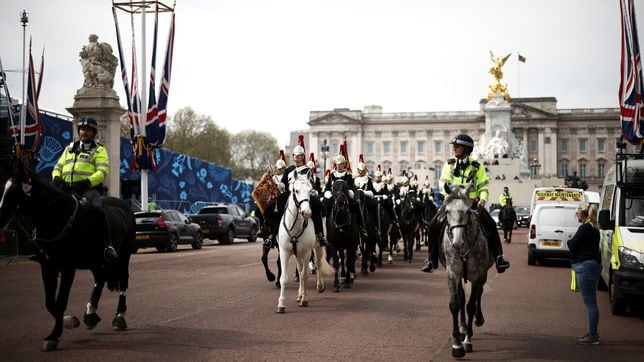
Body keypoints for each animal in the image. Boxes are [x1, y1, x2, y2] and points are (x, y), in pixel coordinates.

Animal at [0, 160, 135, 352]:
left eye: (17, 189)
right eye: (4, 187)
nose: (0, 218)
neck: (56, 217)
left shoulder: (67, 268)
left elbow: (61, 301)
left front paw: (54, 335)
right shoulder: (47, 266)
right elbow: (50, 302)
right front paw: (68, 322)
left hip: (123, 257)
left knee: (122, 282)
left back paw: (119, 317)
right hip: (94, 261)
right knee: (100, 279)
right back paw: (90, 314)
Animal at [276, 171, 332, 312]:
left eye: (310, 190)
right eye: (296, 190)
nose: (306, 212)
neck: (295, 227)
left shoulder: (307, 253)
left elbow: (305, 275)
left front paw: (305, 300)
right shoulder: (284, 252)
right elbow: (284, 278)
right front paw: (281, 304)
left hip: (317, 248)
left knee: (317, 264)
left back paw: (319, 287)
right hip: (297, 255)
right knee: (300, 269)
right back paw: (299, 294)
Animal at [442, 182, 494, 358]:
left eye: (466, 210)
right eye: (447, 211)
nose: (457, 243)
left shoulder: (477, 274)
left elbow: (471, 305)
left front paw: (467, 342)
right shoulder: (453, 273)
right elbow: (455, 304)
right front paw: (457, 344)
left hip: (483, 274)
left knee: (479, 293)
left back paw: (477, 320)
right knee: (462, 298)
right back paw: (463, 327)